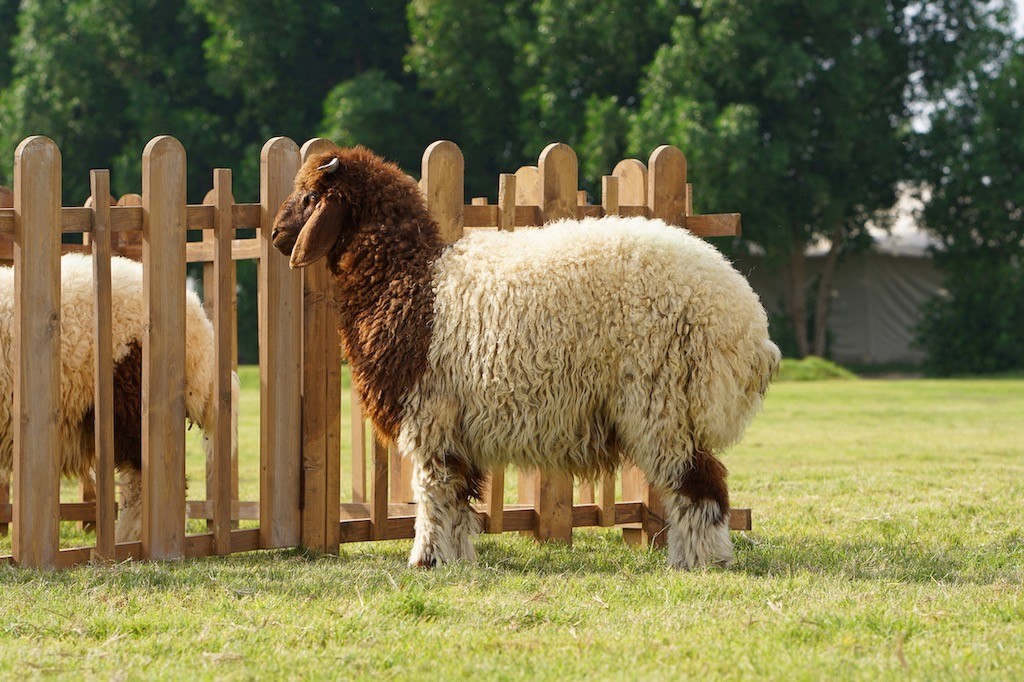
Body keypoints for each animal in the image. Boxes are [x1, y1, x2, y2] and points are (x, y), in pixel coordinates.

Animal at [271, 145, 780, 569]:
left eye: (309, 196)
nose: (276, 234)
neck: (409, 279)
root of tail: (747, 320)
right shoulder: (454, 427)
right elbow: (458, 498)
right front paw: (456, 560)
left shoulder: (430, 414)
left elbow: (433, 492)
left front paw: (426, 560)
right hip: (674, 408)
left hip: (663, 400)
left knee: (700, 483)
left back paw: (698, 561)